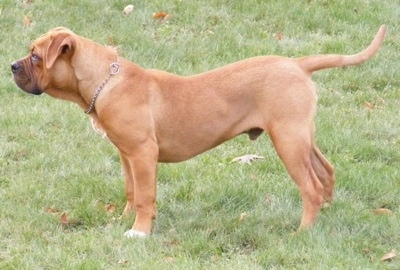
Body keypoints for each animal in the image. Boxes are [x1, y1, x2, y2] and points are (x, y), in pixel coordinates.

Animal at [12, 24, 386, 236]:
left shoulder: (143, 155)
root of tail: (297, 64)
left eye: (35, 56)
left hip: (288, 141)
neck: (105, 80)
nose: (13, 66)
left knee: (310, 186)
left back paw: (303, 232)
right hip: (302, 137)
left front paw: (139, 232)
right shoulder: (127, 155)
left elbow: (145, 196)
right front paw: (125, 219)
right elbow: (132, 192)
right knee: (326, 172)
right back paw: (326, 213)